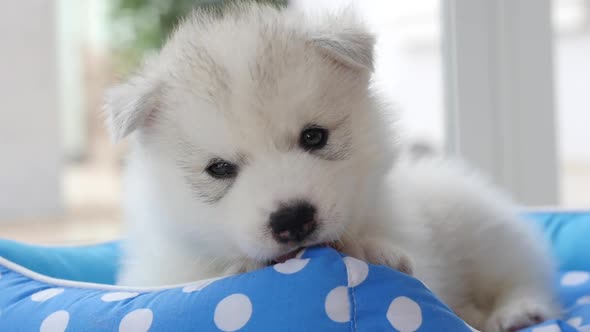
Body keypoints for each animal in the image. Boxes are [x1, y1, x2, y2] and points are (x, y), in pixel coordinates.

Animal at [104, 3, 560, 330]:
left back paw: (517, 310)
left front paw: (368, 250)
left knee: (523, 272)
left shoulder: (422, 253)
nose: (292, 219)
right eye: (219, 168)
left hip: (480, 229)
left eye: (313, 137)